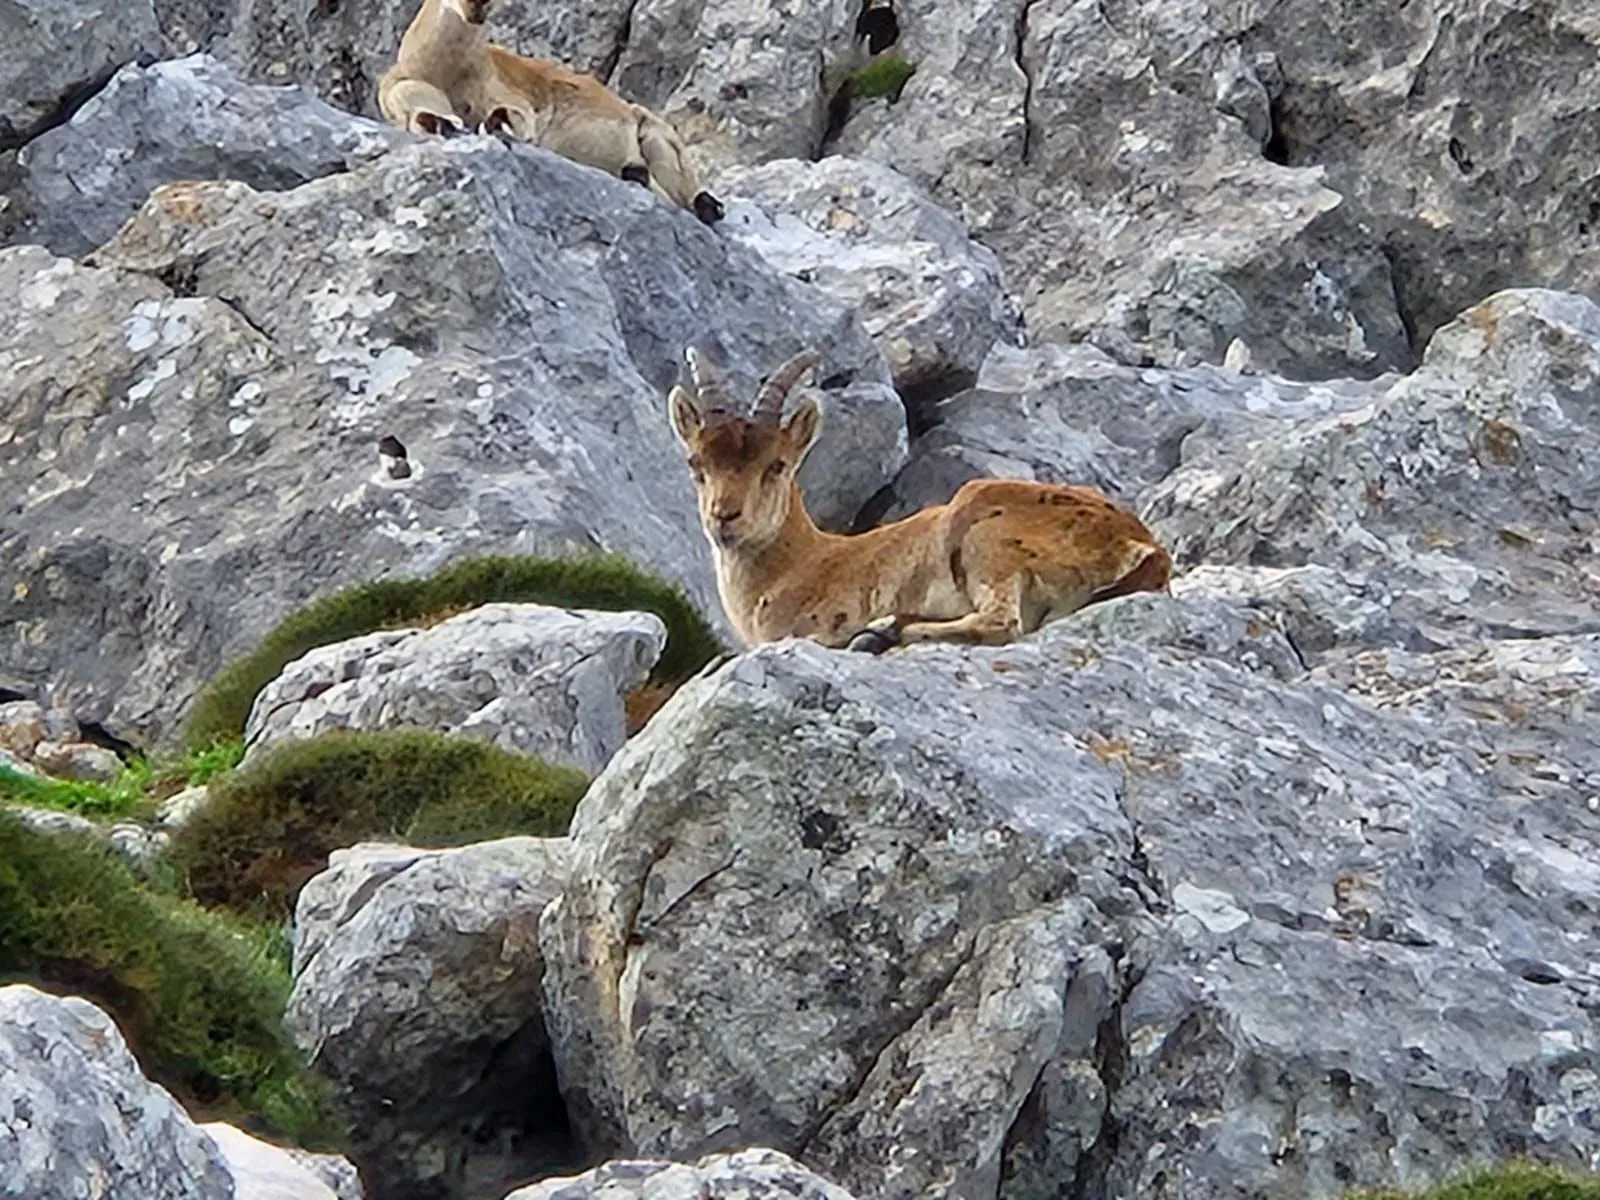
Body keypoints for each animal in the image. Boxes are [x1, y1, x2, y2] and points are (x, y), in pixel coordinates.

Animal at [378, 0, 725, 224]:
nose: (476, 8)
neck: (446, 71)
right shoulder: (402, 94)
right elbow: (424, 116)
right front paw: (445, 125)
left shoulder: (511, 99)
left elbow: (513, 119)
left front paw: (497, 126)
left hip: (657, 136)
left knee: (683, 191)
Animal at [667, 347, 1173, 653]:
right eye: (696, 464)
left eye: (776, 465)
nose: (724, 517)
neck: (796, 565)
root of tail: (1140, 545)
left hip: (985, 536)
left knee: (1001, 622)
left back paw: (884, 630)